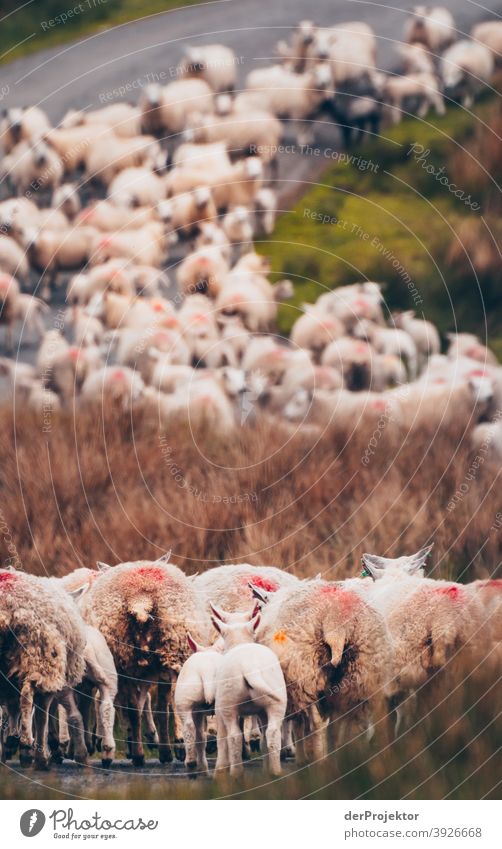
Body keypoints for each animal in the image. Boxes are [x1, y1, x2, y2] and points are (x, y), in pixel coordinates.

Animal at [79, 560, 209, 764]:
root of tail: (140, 599)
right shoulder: (163, 672)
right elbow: (162, 706)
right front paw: (166, 750)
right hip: (175, 649)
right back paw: (177, 746)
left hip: (124, 660)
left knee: (132, 708)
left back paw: (138, 752)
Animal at [211, 608, 286, 776]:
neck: (240, 643)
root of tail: (249, 666)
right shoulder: (261, 711)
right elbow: (263, 737)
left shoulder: (219, 709)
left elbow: (221, 738)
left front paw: (220, 770)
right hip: (276, 701)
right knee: (273, 733)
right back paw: (276, 772)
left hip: (228, 703)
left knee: (234, 736)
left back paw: (236, 773)